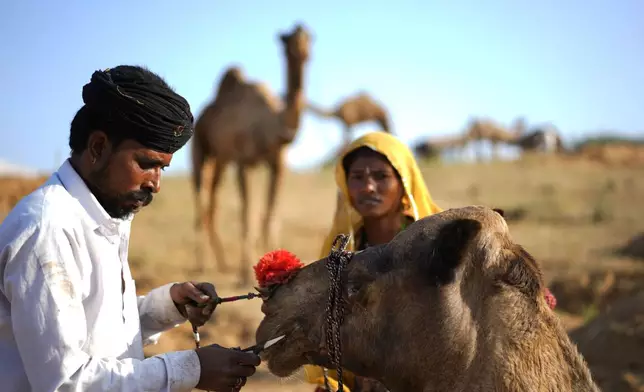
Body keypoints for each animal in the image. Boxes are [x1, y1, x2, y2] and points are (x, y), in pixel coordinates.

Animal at [190, 23, 314, 284]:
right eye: (287, 41)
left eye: (310, 37)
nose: (302, 52)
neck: (272, 126)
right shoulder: (243, 163)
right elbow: (247, 215)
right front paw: (245, 273)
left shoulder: (278, 164)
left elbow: (271, 214)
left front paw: (278, 266)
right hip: (200, 148)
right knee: (201, 198)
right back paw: (202, 264)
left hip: (221, 160)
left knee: (213, 200)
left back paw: (222, 263)